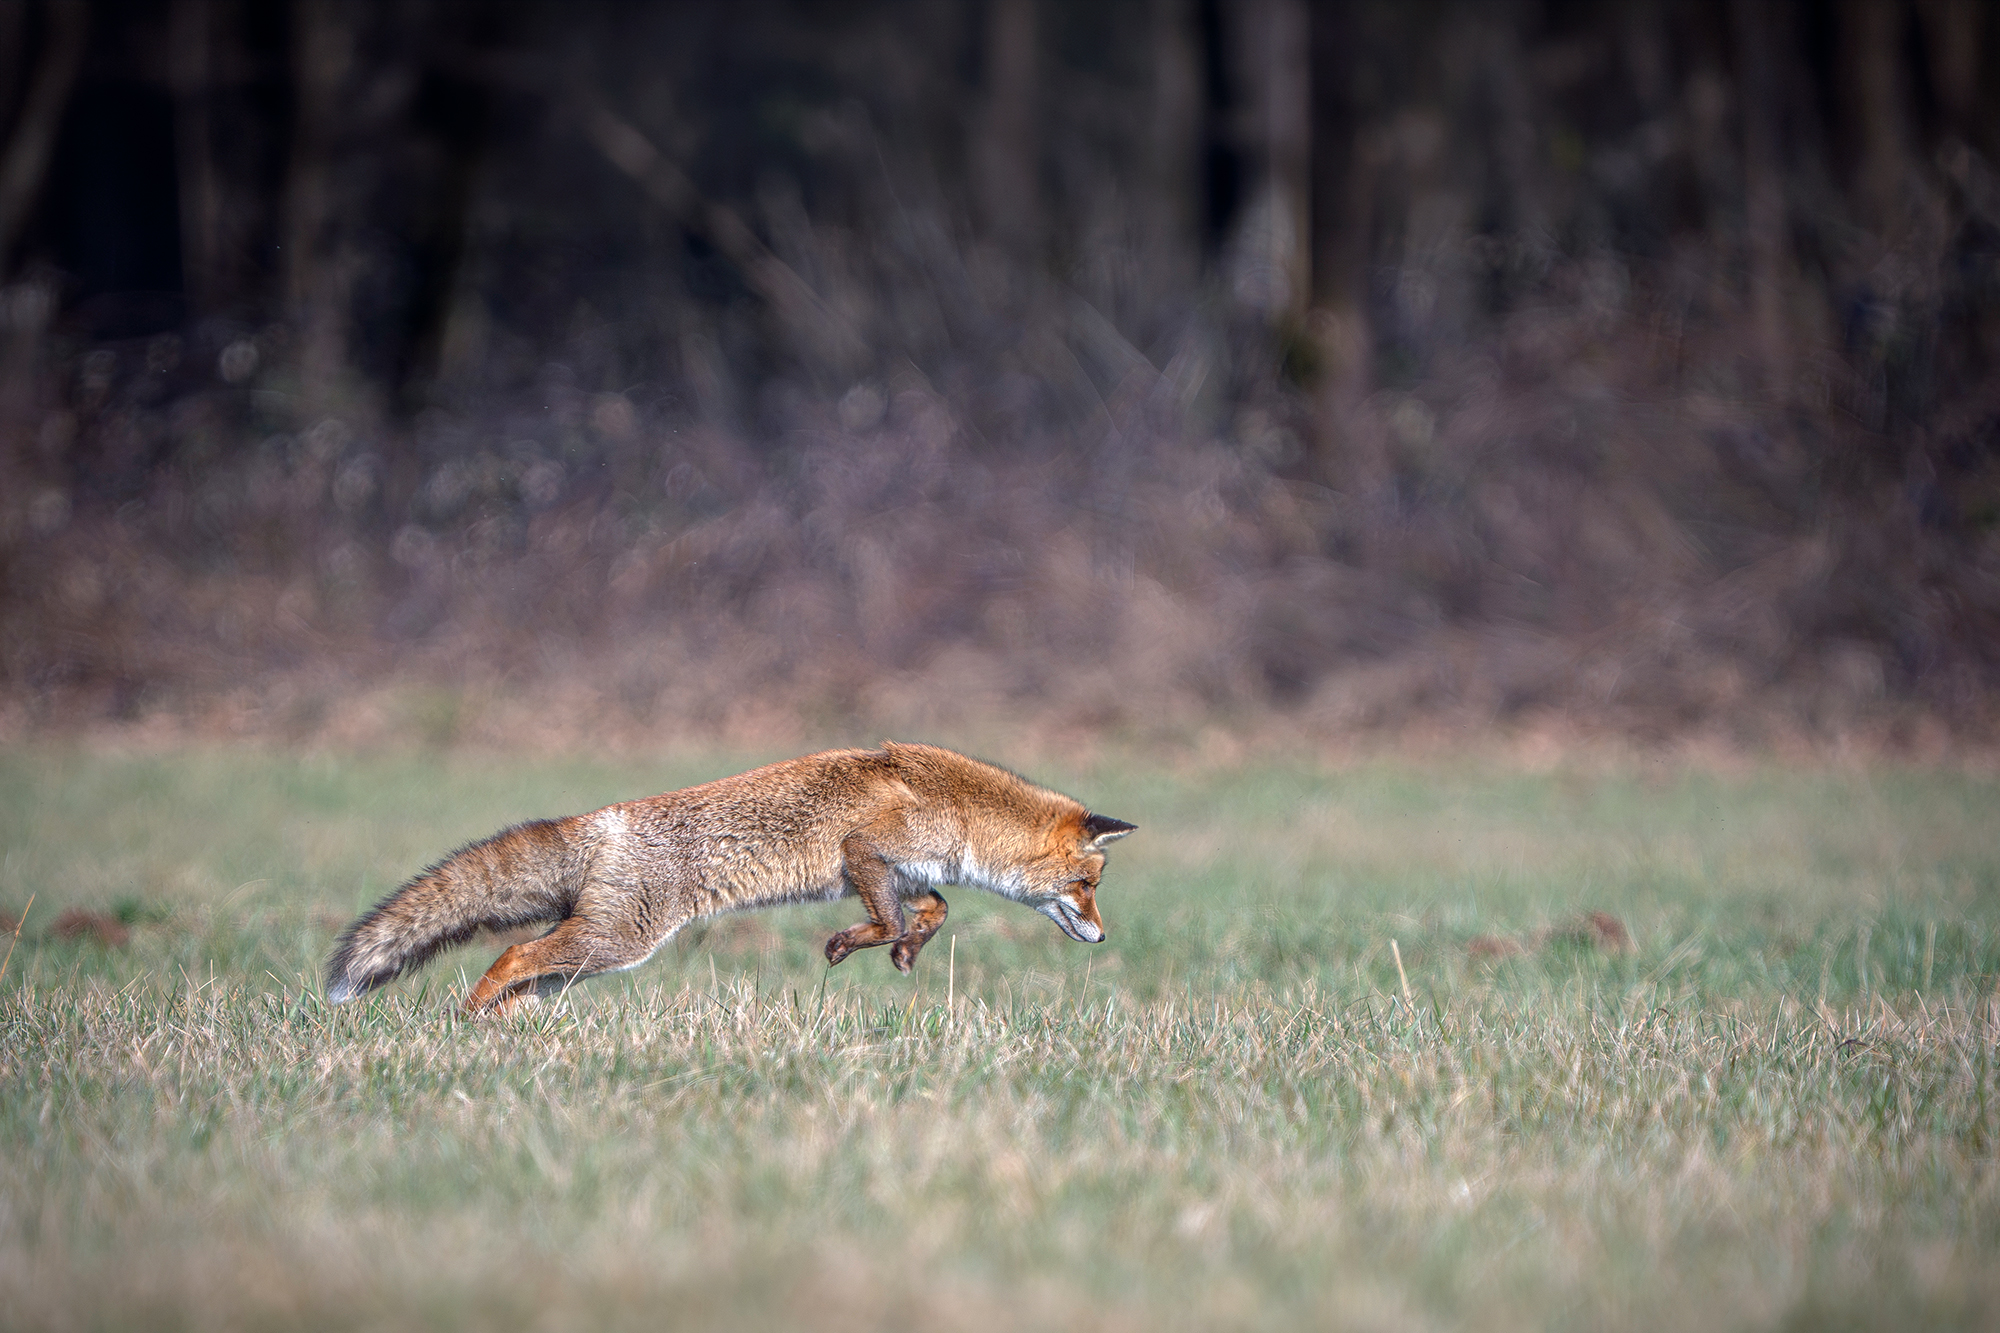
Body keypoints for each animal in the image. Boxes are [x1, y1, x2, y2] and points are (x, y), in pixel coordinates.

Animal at [325, 741, 1135, 1015]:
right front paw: (859, 944)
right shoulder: (865, 849)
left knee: (525, 976)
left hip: (586, 957)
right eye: (1090, 886)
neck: (963, 810)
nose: (1104, 937)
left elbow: (931, 912)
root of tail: (602, 819)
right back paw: (463, 1020)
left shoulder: (900, 871)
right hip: (616, 943)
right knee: (512, 954)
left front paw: (904, 951)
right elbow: (891, 917)